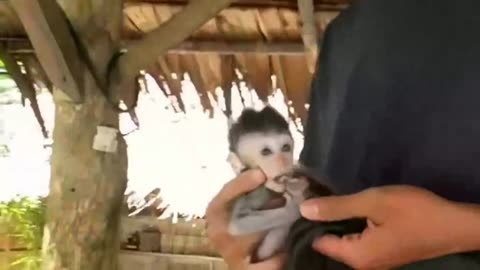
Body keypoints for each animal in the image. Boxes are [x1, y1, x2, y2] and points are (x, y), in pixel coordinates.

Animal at [225, 105, 330, 262]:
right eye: (266, 152)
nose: (282, 162)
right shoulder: (256, 190)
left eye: (285, 148)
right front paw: (295, 207)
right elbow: (237, 225)